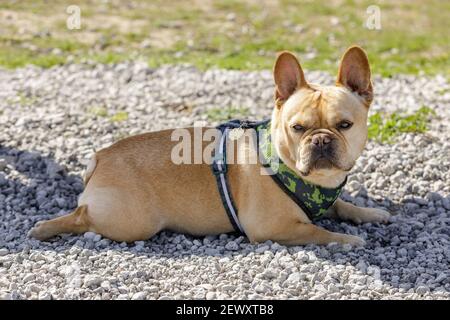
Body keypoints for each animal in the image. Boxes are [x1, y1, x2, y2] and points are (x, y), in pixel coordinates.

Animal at [29, 45, 390, 245]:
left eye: (344, 125)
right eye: (298, 128)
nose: (321, 140)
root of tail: (100, 157)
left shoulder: (328, 197)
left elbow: (342, 205)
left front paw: (370, 213)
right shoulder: (273, 228)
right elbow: (317, 232)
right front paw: (347, 239)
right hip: (133, 222)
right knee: (82, 216)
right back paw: (46, 228)